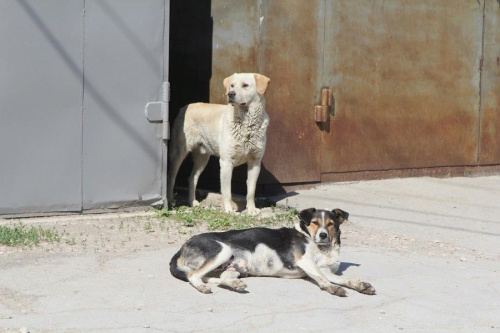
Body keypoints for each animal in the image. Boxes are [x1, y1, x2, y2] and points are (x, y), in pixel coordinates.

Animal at [167, 72, 270, 214]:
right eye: (232, 85)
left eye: (245, 85)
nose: (230, 94)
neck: (246, 122)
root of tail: (185, 107)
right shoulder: (226, 162)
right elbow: (227, 191)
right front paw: (229, 209)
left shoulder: (255, 162)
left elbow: (251, 191)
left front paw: (251, 209)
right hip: (178, 153)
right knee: (171, 176)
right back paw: (170, 200)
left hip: (202, 158)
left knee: (192, 178)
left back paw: (192, 202)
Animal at [169, 206, 376, 294]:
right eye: (315, 223)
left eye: (331, 224)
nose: (323, 235)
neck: (322, 247)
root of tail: (182, 248)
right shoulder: (305, 261)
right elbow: (323, 279)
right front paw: (331, 288)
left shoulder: (324, 269)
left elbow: (344, 279)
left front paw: (359, 285)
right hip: (223, 250)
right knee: (193, 276)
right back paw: (202, 287)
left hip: (235, 267)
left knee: (223, 279)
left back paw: (236, 285)